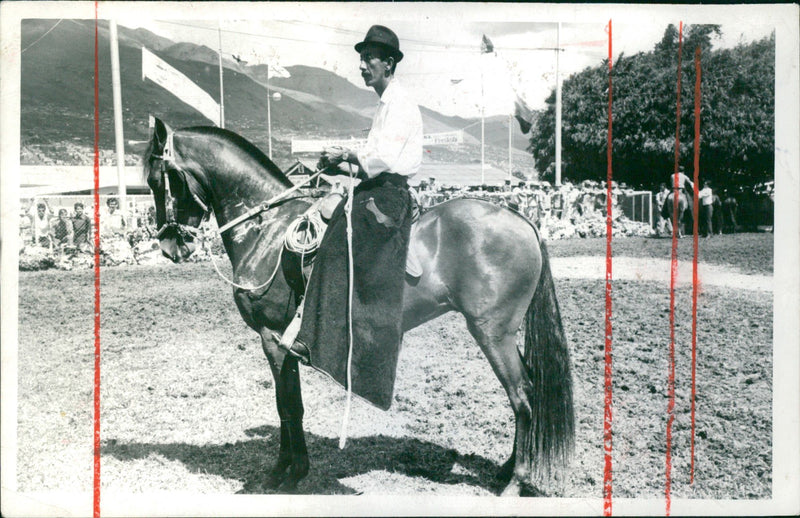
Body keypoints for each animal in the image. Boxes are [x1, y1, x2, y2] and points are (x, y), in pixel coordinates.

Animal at [142, 120, 568, 498]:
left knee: (523, 394)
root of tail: (522, 220)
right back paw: (507, 471)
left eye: (158, 180)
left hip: (491, 331)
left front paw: (287, 473)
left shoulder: (272, 338)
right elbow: (291, 405)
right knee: (528, 390)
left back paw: (516, 483)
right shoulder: (284, 344)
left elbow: (287, 407)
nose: (169, 246)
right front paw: (291, 468)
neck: (268, 229)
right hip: (503, 334)